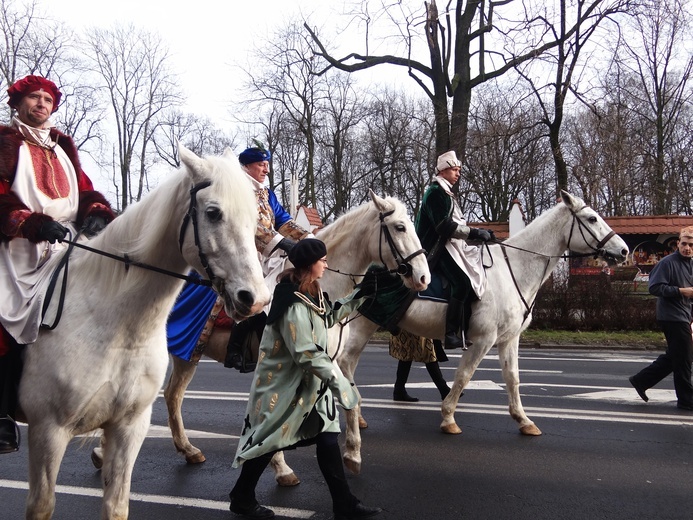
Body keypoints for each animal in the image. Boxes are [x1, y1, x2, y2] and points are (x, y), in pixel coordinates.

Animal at [18, 145, 268, 520]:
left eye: (256, 219)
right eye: (213, 213)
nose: (256, 300)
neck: (117, 330)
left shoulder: (130, 426)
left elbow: (117, 504)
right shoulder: (48, 431)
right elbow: (42, 505)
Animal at [156, 190, 430, 484]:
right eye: (400, 227)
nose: (423, 277)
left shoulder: (330, 358)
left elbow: (350, 400)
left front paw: (352, 454)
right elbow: (274, 407)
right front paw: (282, 467)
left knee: (173, 395)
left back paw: (189, 450)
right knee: (171, 395)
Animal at [336, 192, 628, 476]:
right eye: (592, 219)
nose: (623, 250)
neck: (514, 271)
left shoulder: (509, 339)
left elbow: (512, 379)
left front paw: (524, 420)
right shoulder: (484, 340)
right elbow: (464, 375)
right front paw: (448, 418)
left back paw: (358, 415)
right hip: (360, 327)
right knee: (345, 363)